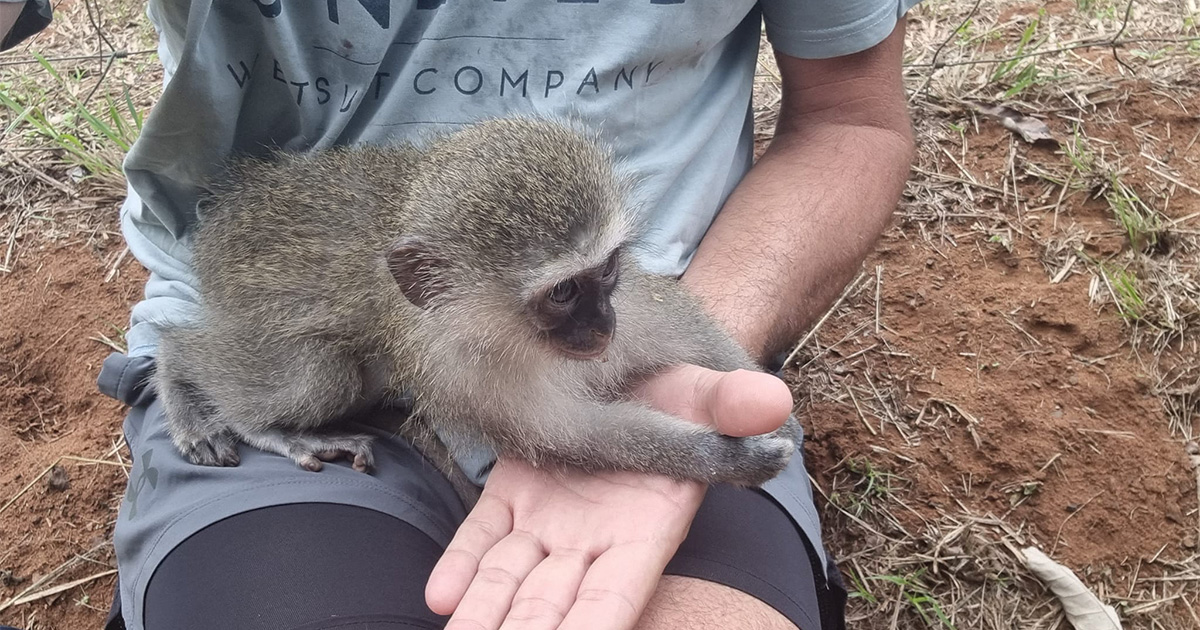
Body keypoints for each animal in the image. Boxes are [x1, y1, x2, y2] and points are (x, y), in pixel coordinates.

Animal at [152, 118, 798, 490]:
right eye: (562, 292)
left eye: (605, 269)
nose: (601, 327)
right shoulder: (465, 371)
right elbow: (578, 435)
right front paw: (724, 459)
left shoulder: (632, 304)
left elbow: (683, 330)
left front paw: (766, 399)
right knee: (311, 373)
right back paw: (196, 383)